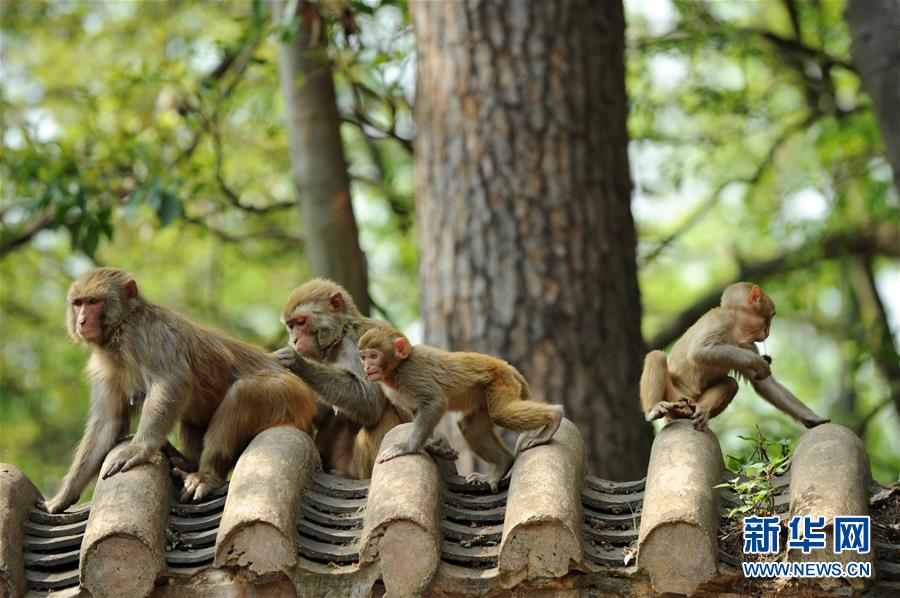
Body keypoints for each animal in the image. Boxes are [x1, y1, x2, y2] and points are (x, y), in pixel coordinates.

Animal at [43, 270, 316, 512]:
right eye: (78, 303)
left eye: (94, 302)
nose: (81, 321)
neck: (119, 330)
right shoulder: (104, 366)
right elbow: (109, 423)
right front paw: (62, 497)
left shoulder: (146, 334)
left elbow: (171, 382)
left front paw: (139, 449)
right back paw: (187, 462)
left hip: (293, 399)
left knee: (243, 394)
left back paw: (206, 475)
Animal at [268, 278, 458, 480]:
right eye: (291, 326)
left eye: (300, 322)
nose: (295, 340)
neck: (338, 339)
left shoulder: (360, 343)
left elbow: (369, 401)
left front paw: (299, 363)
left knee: (381, 411)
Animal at [356, 326, 564, 494]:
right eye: (363, 357)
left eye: (373, 356)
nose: (367, 367)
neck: (397, 369)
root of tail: (508, 367)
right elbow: (419, 412)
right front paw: (435, 446)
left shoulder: (411, 374)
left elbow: (435, 403)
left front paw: (407, 447)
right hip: (483, 395)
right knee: (470, 426)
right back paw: (502, 466)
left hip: (500, 381)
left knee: (501, 414)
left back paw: (554, 417)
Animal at [640, 284, 828, 434]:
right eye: (770, 317)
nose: (768, 332)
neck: (737, 327)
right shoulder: (722, 321)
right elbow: (699, 351)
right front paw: (756, 362)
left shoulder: (749, 344)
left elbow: (764, 384)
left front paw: (811, 418)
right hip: (674, 397)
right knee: (656, 356)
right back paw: (653, 409)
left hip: (685, 401)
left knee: (730, 383)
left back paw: (699, 410)